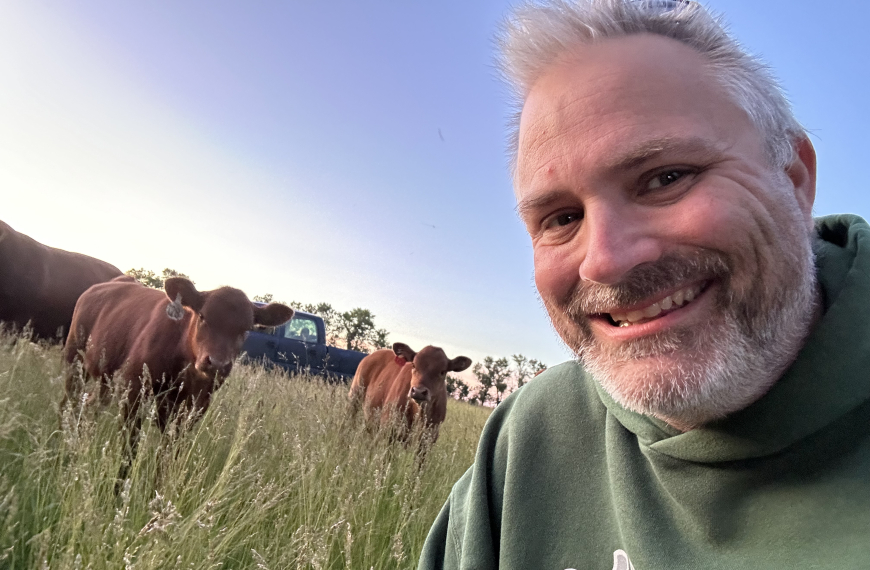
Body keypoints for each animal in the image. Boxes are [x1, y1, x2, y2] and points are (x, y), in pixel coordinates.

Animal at [63, 274, 296, 426]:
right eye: (202, 316)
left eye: (246, 329)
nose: (217, 363)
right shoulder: (134, 390)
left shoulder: (195, 405)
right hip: (74, 359)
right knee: (69, 398)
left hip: (106, 379)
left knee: (91, 401)